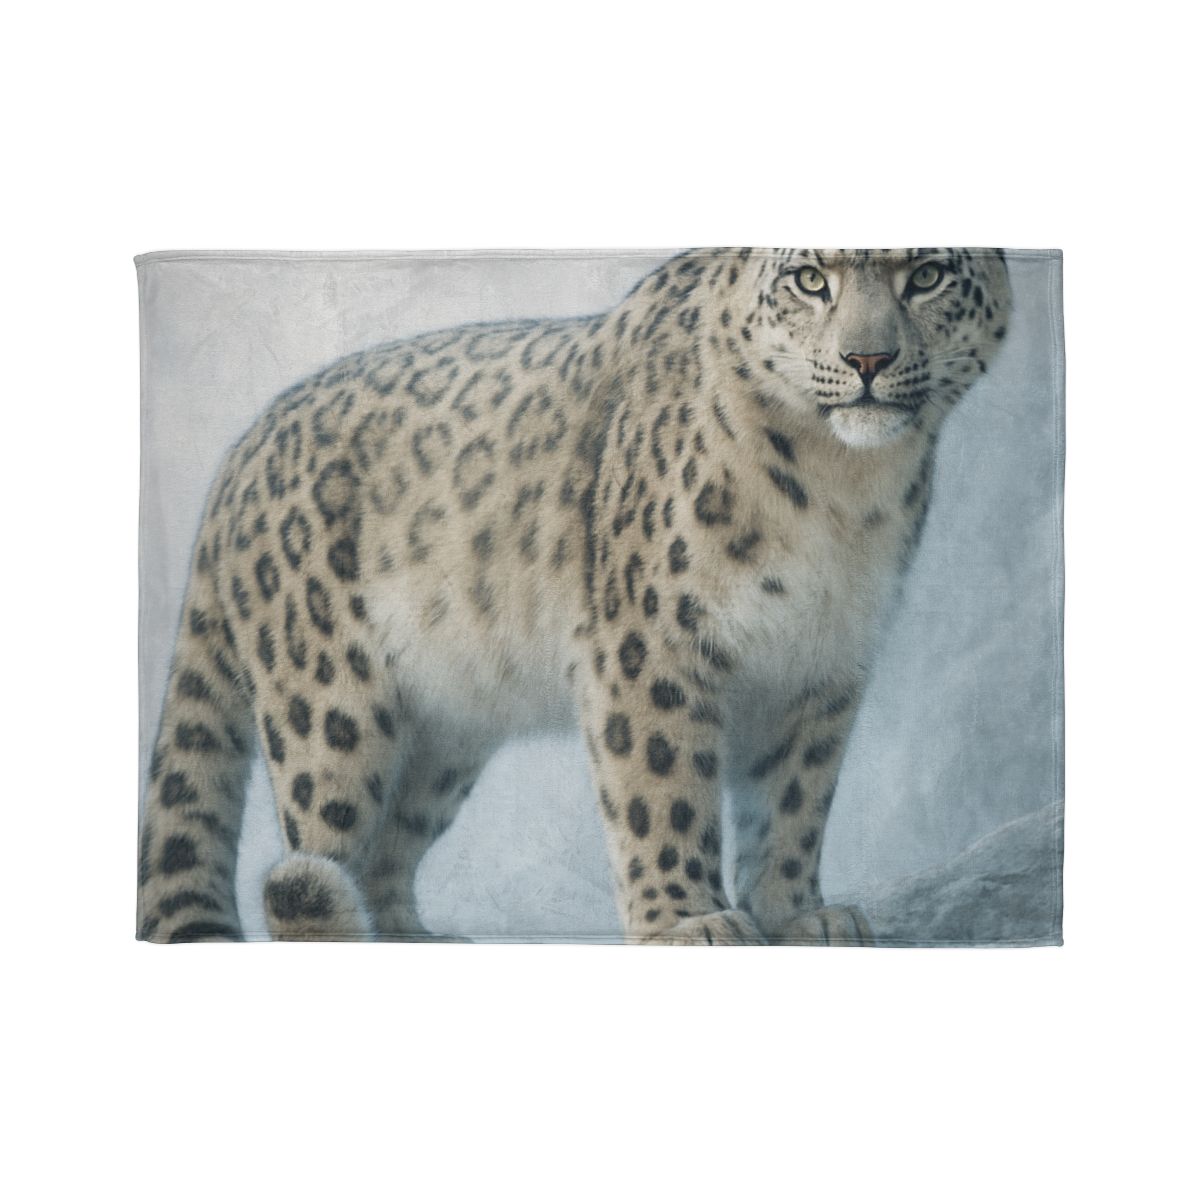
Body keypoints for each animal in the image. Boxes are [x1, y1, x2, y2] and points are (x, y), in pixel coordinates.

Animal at [137, 247, 1011, 945]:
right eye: (810, 279)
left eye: (926, 275)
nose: (868, 359)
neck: (844, 490)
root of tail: (241, 451)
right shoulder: (651, 639)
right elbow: (663, 786)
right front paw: (688, 921)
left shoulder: (825, 661)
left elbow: (795, 799)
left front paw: (799, 915)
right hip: (330, 712)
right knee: (320, 846)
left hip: (446, 732)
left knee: (390, 842)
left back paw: (418, 939)